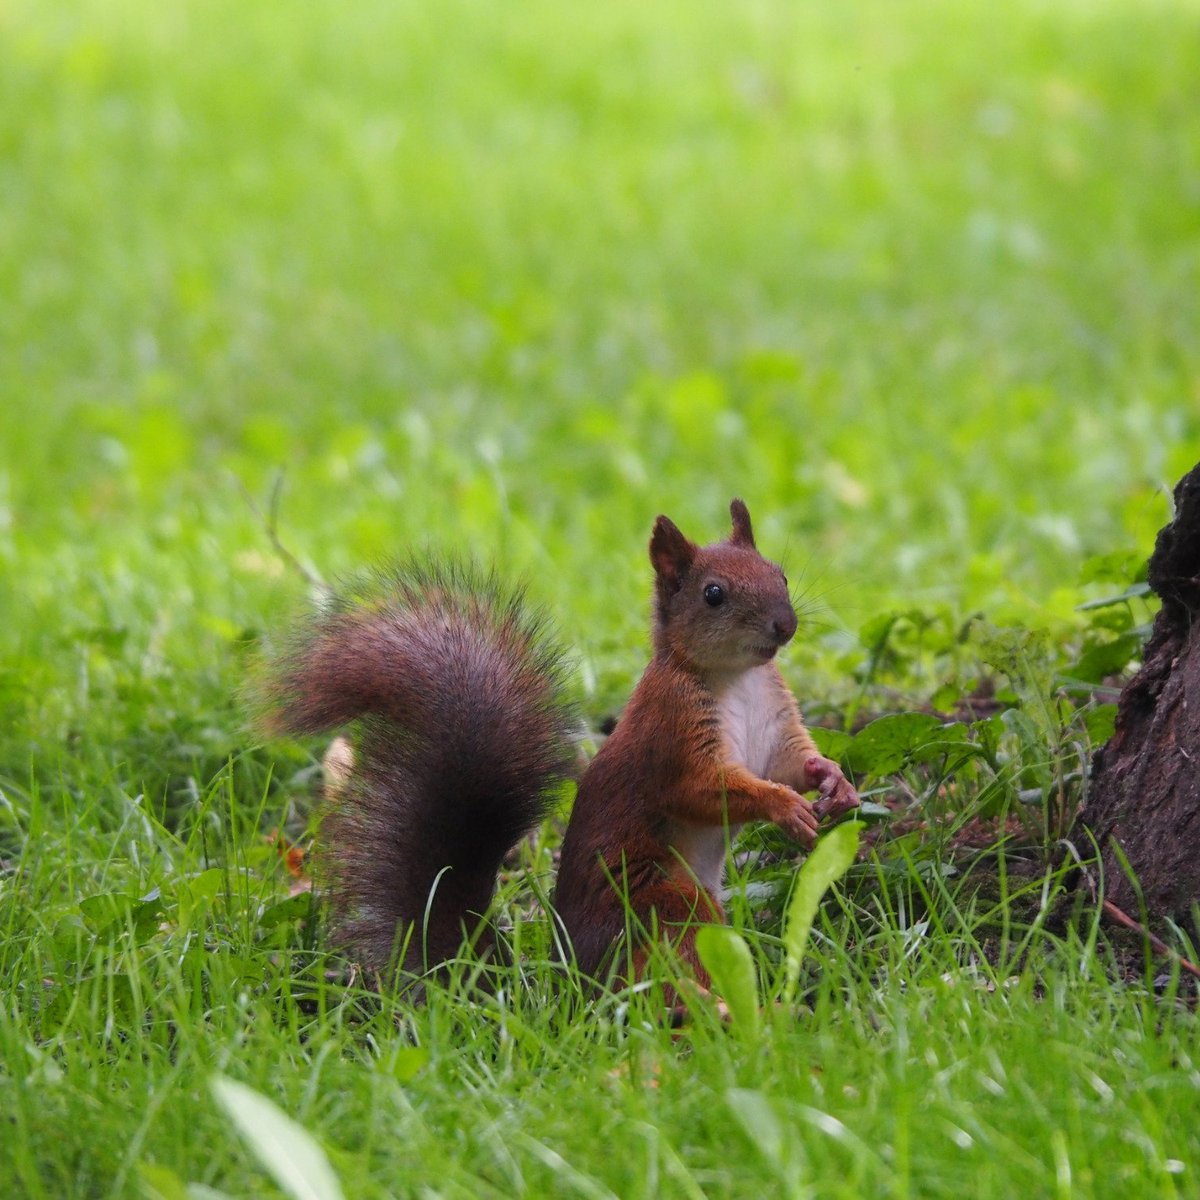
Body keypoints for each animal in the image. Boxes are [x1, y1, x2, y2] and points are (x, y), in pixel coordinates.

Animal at [264, 501, 864, 988]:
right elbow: (699, 789)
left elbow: (791, 761)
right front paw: (784, 807)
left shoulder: (776, 723)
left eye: (779, 573)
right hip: (663, 902)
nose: (785, 625)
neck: (738, 679)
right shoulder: (670, 734)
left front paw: (834, 780)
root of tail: (570, 979)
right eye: (713, 594)